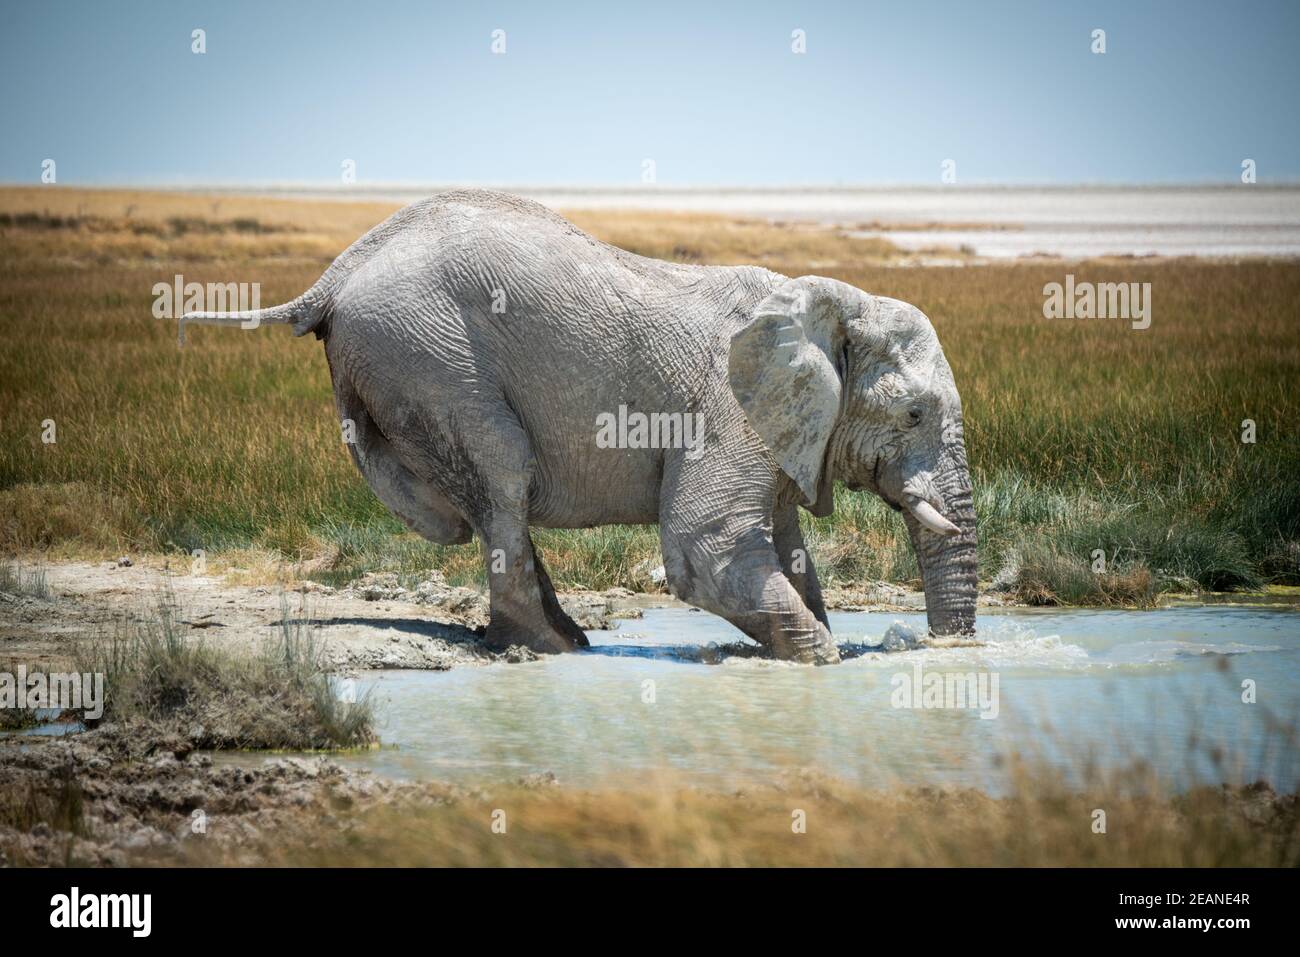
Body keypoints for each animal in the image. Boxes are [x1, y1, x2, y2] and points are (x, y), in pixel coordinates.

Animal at [183, 189, 977, 663]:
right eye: (913, 414)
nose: (948, 648)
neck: (827, 300)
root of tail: (335, 275)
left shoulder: (784, 433)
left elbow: (789, 547)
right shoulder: (726, 408)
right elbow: (706, 547)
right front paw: (822, 659)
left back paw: (565, 639)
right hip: (427, 354)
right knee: (503, 472)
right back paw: (547, 650)